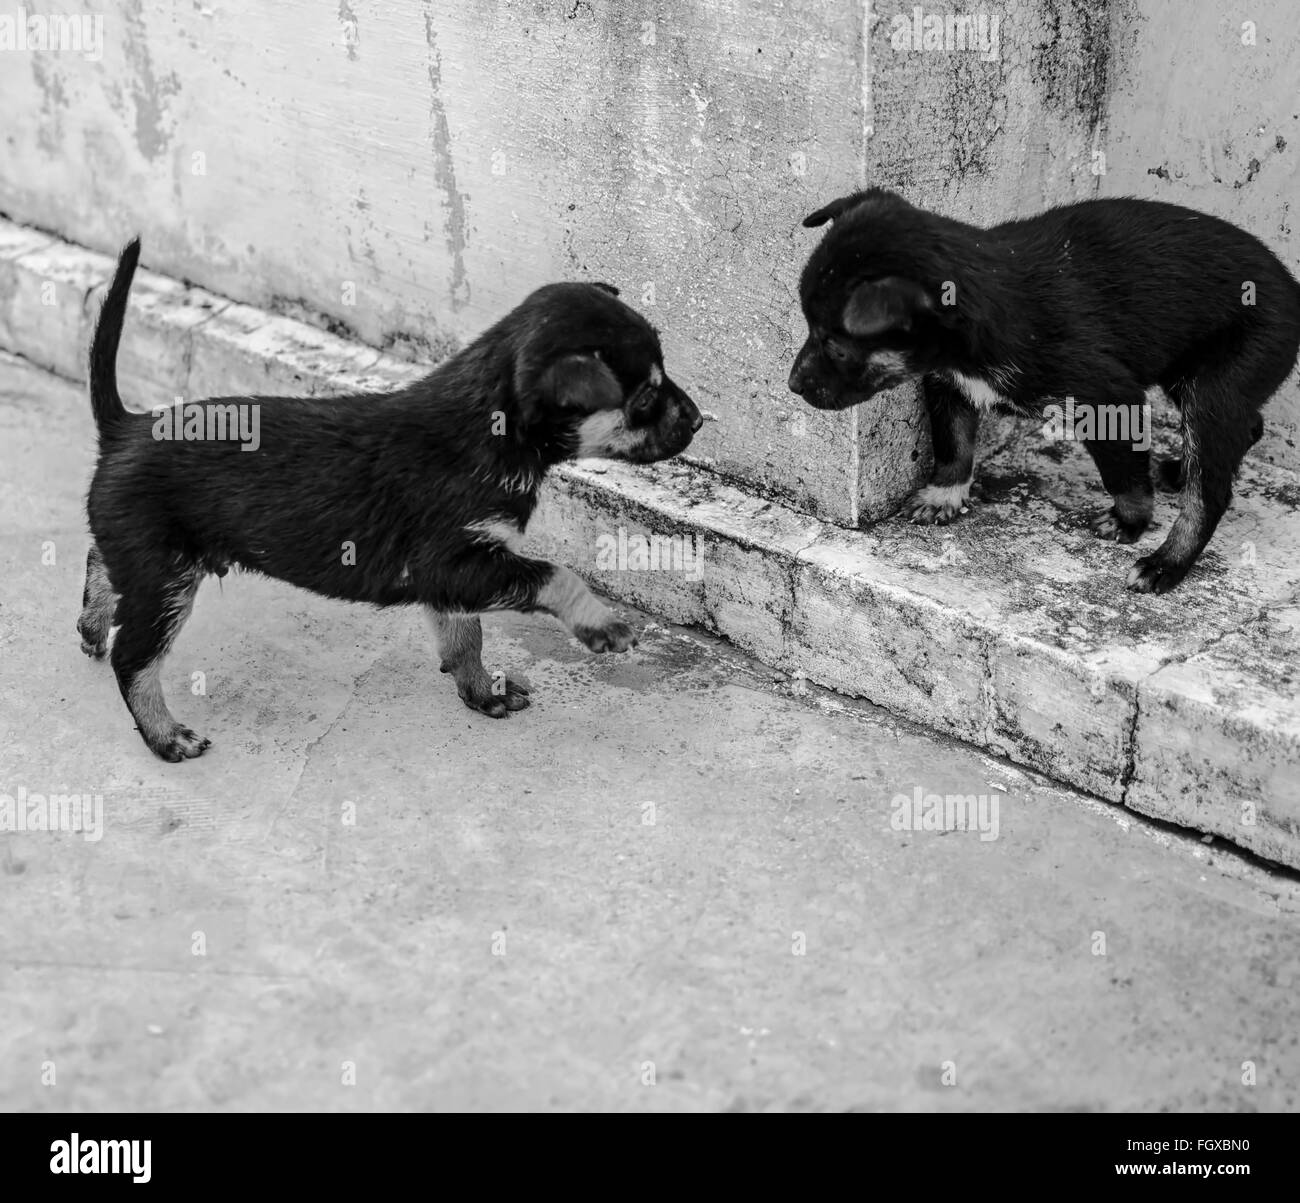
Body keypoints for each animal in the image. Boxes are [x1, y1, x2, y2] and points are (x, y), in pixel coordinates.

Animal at [78, 237, 702, 754]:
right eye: (646, 399)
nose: (698, 421)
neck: (491, 429)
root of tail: (124, 427)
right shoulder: (457, 560)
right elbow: (556, 574)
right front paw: (603, 625)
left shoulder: (456, 573)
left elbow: (465, 636)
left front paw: (482, 691)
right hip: (166, 578)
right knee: (133, 659)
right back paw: (165, 735)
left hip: (152, 563)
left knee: (98, 562)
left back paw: (89, 624)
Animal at [785, 188, 1300, 595]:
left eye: (835, 344)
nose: (792, 385)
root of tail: (1292, 289)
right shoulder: (948, 383)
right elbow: (953, 444)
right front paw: (945, 494)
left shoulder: (1110, 396)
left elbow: (1125, 477)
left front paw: (1130, 521)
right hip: (1194, 375)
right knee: (1247, 426)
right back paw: (1179, 470)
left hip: (1216, 385)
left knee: (1210, 490)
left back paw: (1167, 562)